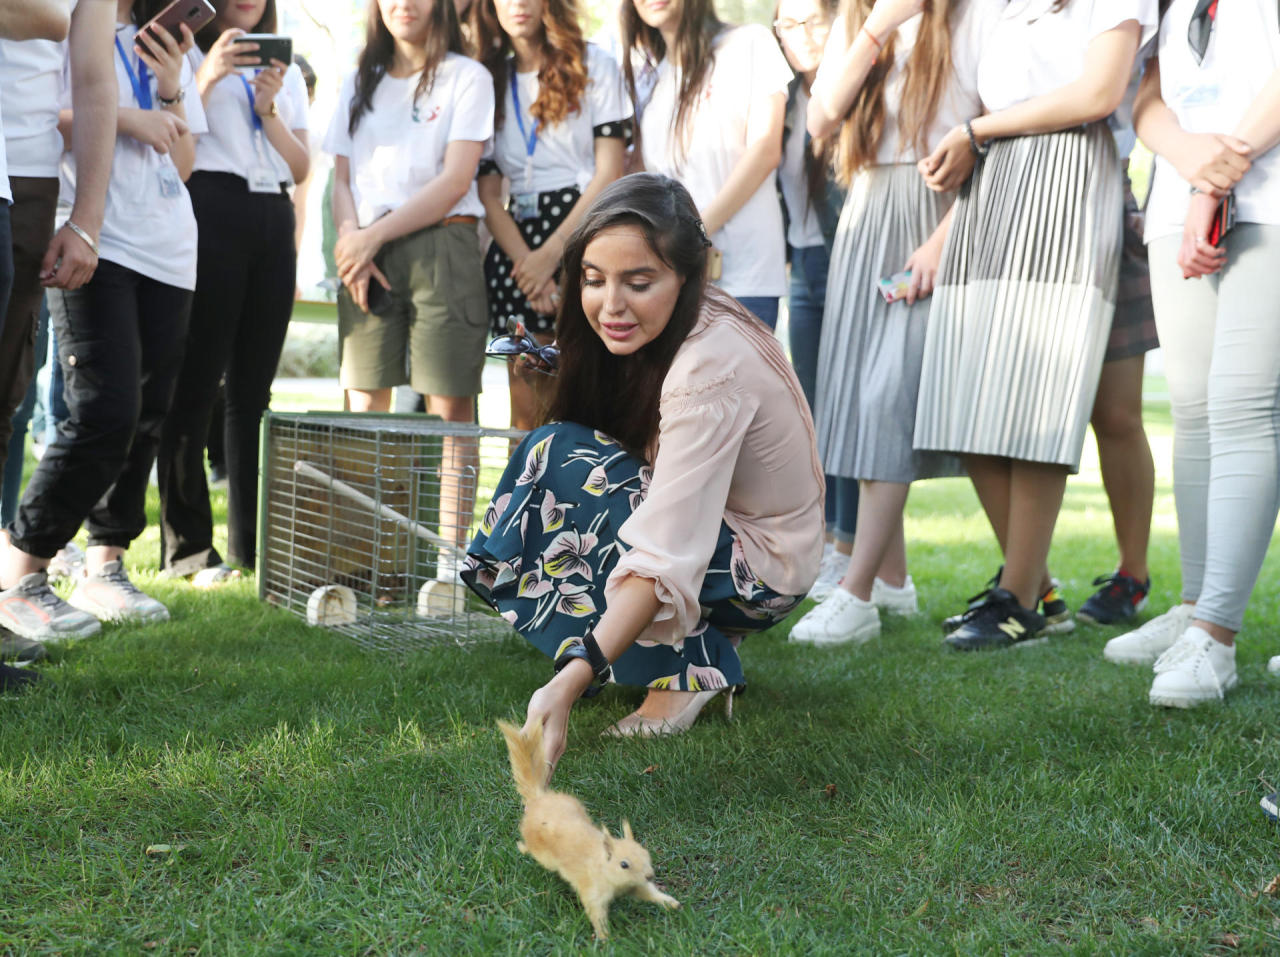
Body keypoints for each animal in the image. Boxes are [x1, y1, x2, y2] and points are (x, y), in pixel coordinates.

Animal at [496, 721, 686, 936]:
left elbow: (647, 892)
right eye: (624, 864)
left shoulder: (634, 885)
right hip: (542, 852)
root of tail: (539, 800)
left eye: (646, 854)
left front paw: (671, 903)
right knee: (531, 849)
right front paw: (605, 937)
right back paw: (522, 847)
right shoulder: (593, 889)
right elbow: (595, 911)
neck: (602, 864)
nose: (649, 875)